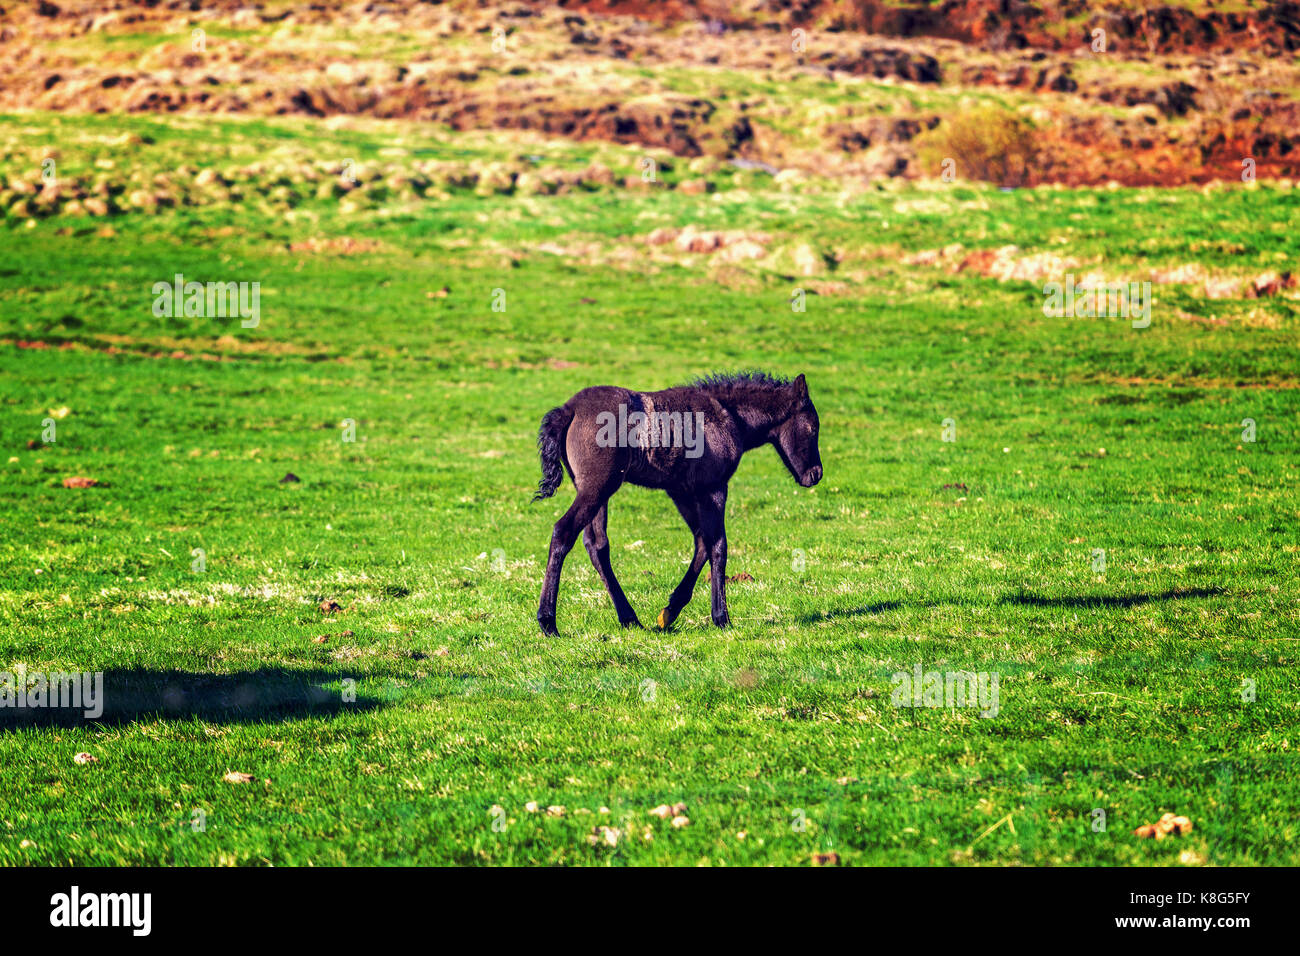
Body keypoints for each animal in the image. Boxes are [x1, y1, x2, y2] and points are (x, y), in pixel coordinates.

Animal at [532, 371, 822, 635]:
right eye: (813, 428)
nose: (816, 474)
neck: (727, 415)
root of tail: (568, 410)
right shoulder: (713, 488)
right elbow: (718, 545)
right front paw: (721, 618)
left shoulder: (681, 491)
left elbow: (702, 542)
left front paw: (669, 612)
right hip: (597, 487)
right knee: (563, 531)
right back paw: (548, 622)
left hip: (595, 490)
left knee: (597, 545)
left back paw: (629, 619)